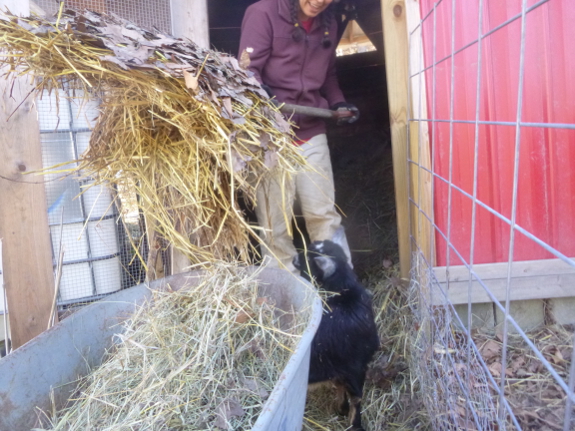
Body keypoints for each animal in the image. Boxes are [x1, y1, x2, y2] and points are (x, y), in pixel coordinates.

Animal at [294, 240, 380, 431]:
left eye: (309, 258)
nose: (294, 259)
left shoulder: (353, 366)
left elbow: (352, 395)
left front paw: (346, 413)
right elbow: (350, 393)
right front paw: (346, 414)